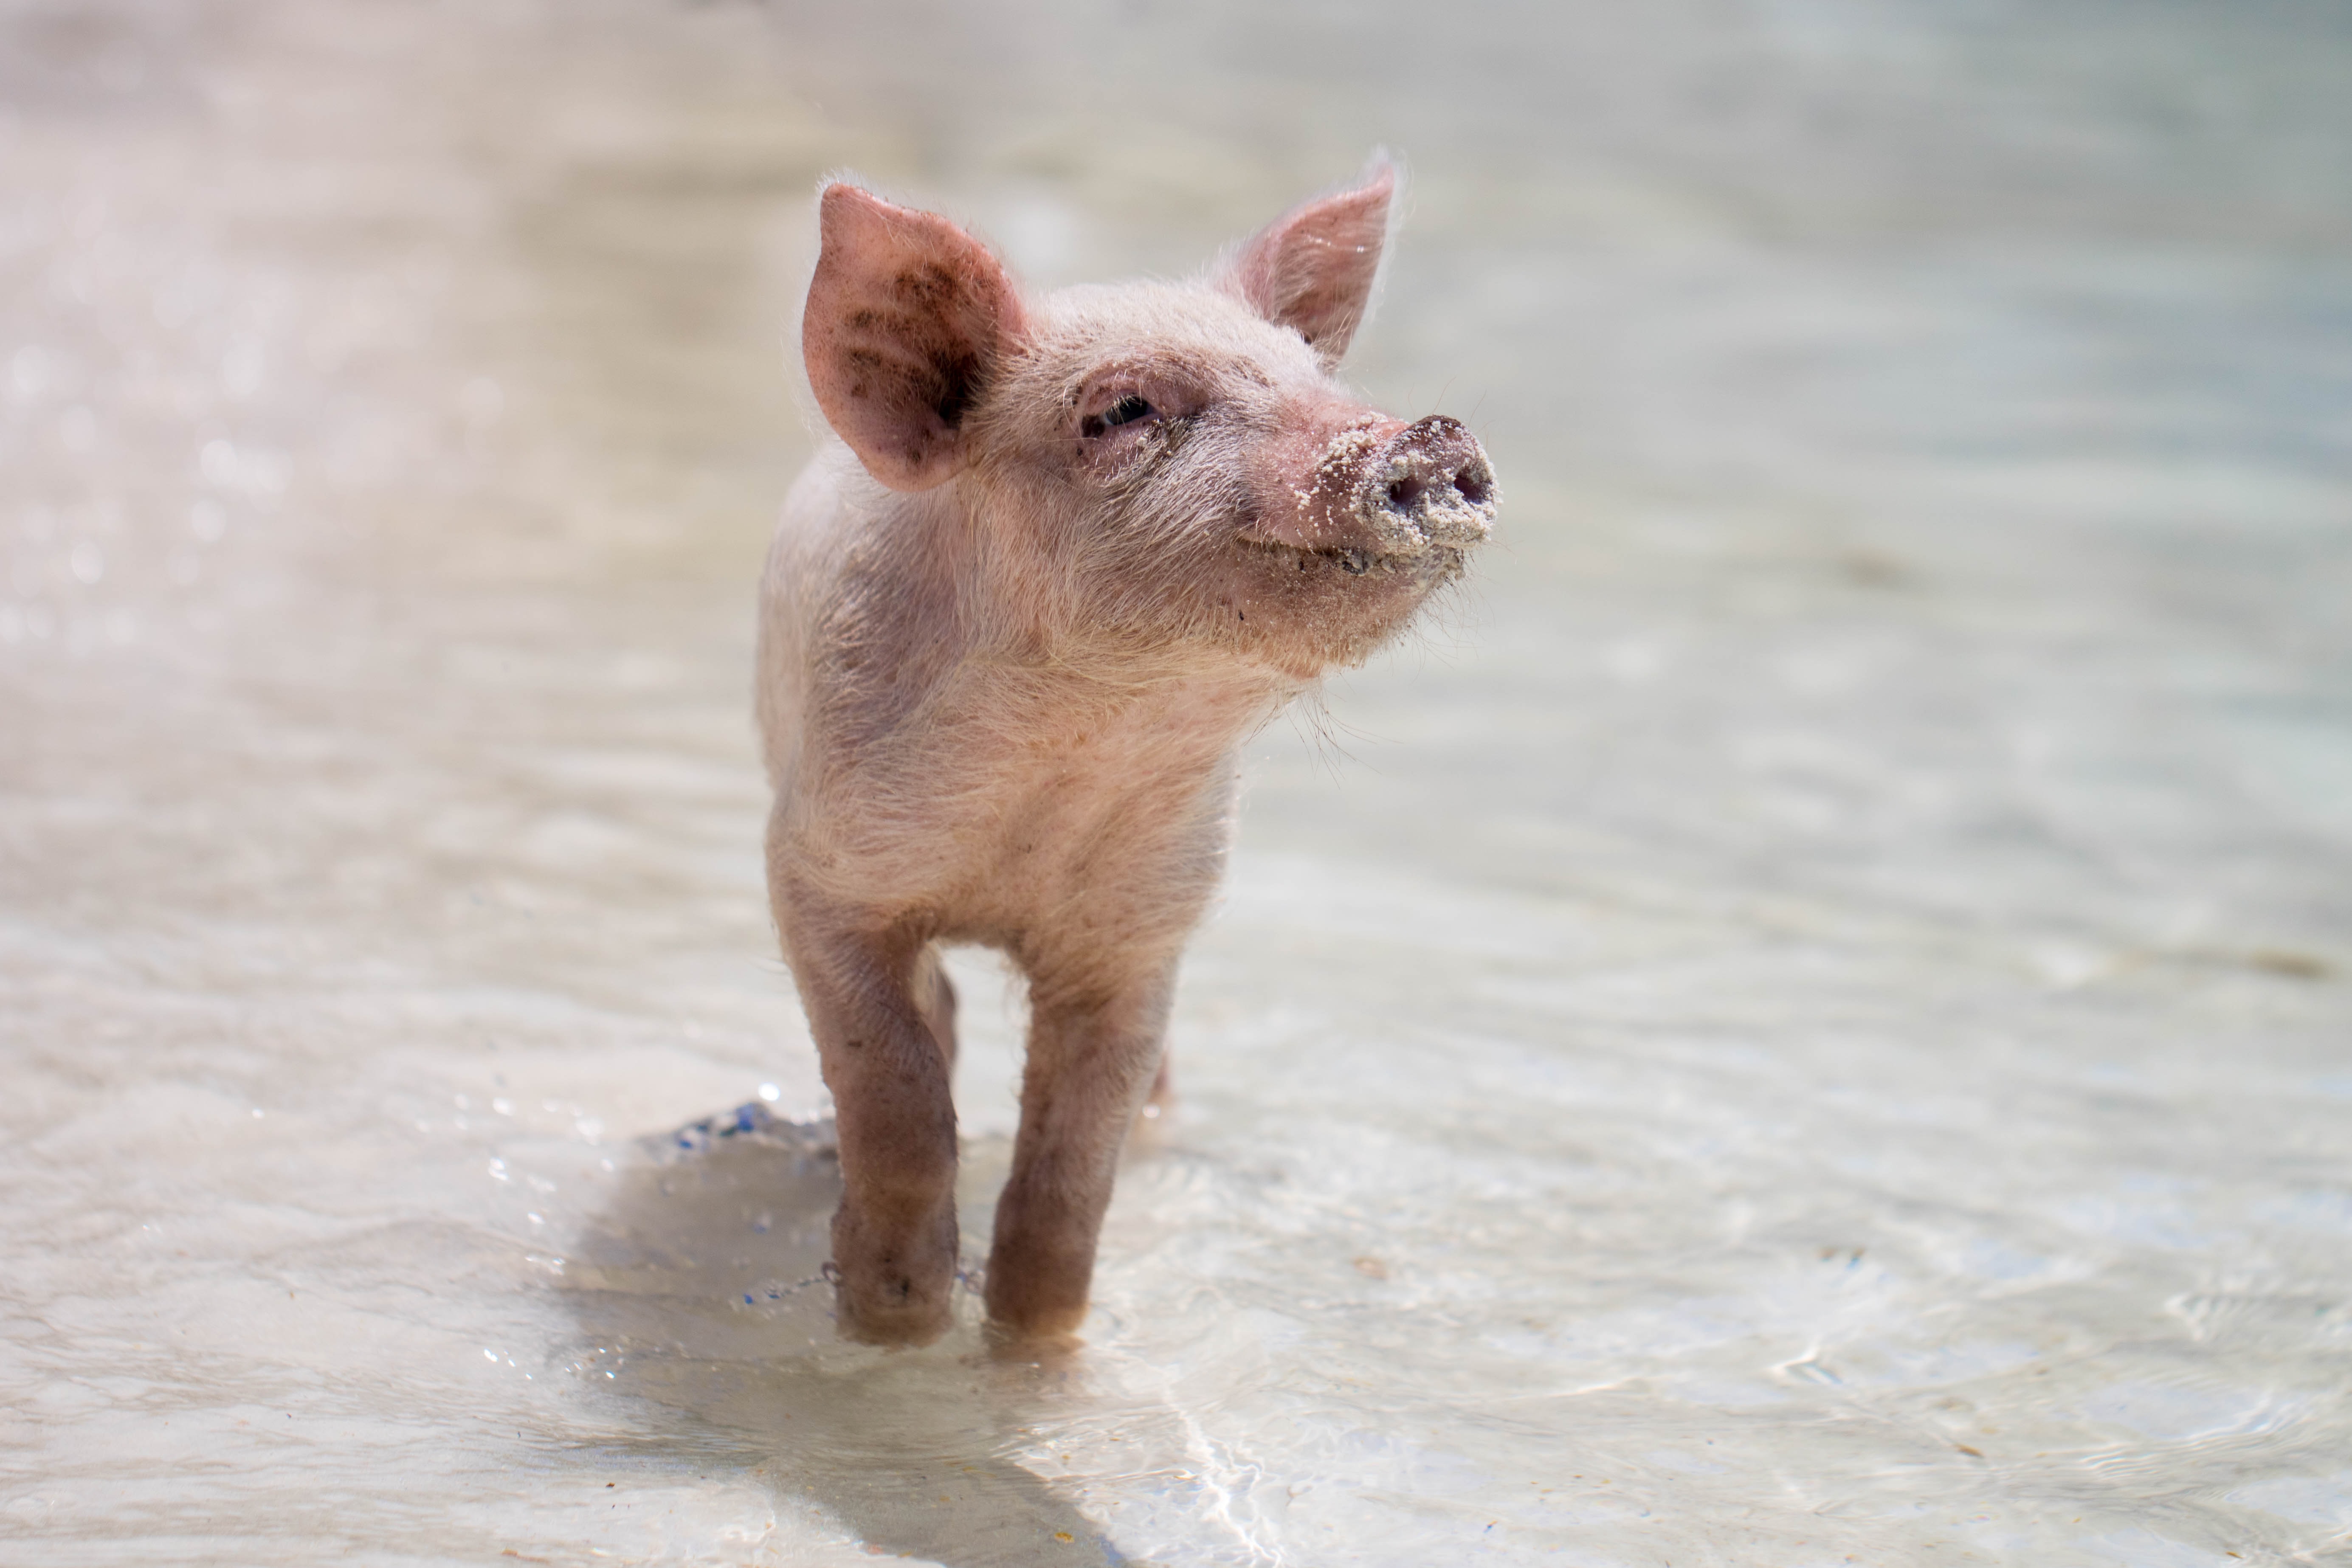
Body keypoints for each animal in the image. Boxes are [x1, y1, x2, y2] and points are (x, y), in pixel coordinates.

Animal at [757, 159, 1495, 1346]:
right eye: (1121, 410)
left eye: (1312, 375)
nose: (1427, 436)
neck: (1063, 772)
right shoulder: (817, 870)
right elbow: (896, 1091)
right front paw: (893, 1318)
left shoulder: (1145, 929)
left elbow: (1072, 1170)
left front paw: (1031, 1343)